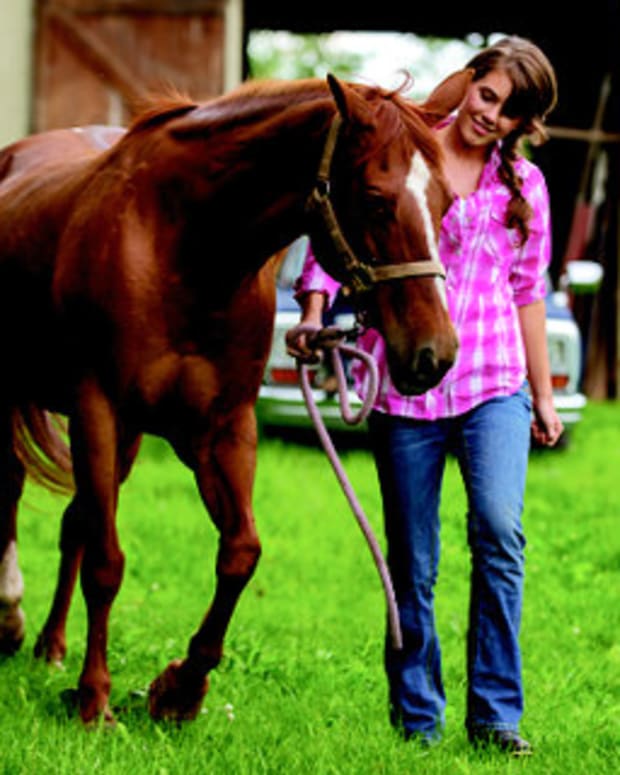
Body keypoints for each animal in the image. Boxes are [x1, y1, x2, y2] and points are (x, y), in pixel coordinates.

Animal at [0, 70, 469, 725]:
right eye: (377, 200)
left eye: (446, 202)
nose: (435, 354)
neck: (182, 245)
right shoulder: (98, 410)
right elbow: (107, 562)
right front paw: (95, 701)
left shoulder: (221, 429)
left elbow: (240, 553)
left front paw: (180, 688)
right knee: (14, 498)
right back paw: (9, 620)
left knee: (75, 523)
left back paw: (50, 645)